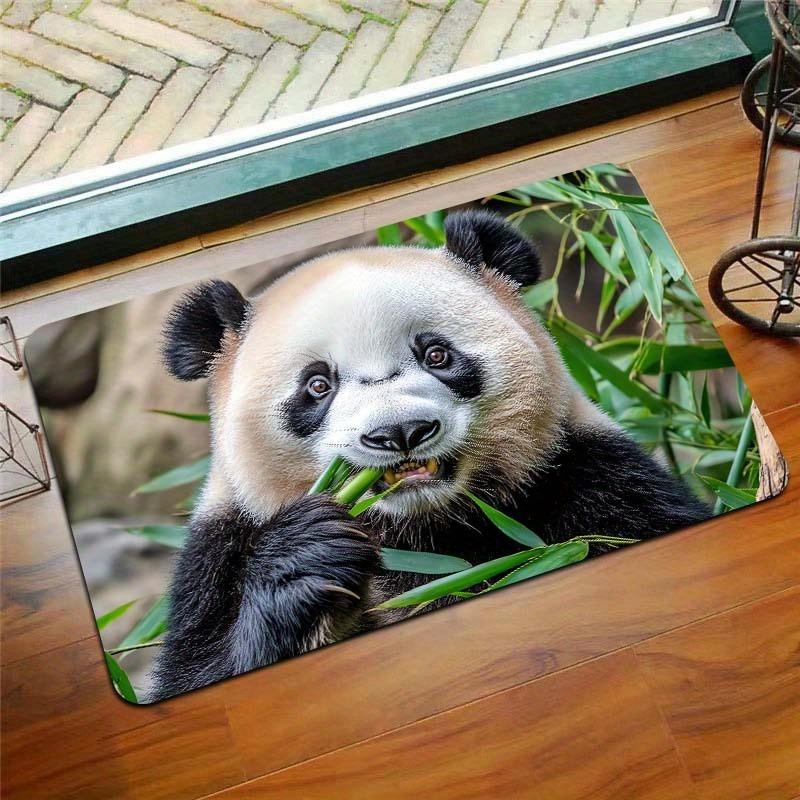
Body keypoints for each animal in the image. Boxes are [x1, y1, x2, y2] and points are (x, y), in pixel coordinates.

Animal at [148, 210, 710, 701]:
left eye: (436, 355)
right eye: (317, 385)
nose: (400, 432)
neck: (424, 529)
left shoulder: (586, 477)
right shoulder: (220, 558)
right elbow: (204, 668)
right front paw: (310, 552)